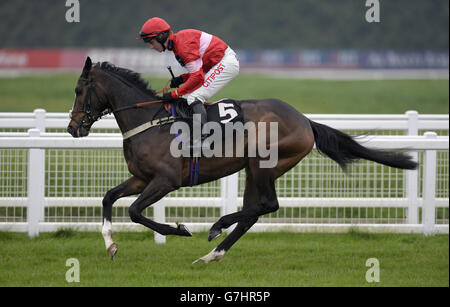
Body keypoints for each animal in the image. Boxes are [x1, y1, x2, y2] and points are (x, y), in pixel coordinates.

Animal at [67, 56, 418, 264]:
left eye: (79, 90)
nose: (72, 127)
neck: (150, 120)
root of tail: (305, 120)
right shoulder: (142, 177)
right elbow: (109, 198)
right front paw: (110, 245)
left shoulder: (165, 181)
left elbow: (136, 211)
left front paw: (179, 229)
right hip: (253, 169)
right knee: (254, 212)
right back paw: (212, 253)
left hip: (264, 163)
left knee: (268, 205)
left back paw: (217, 227)